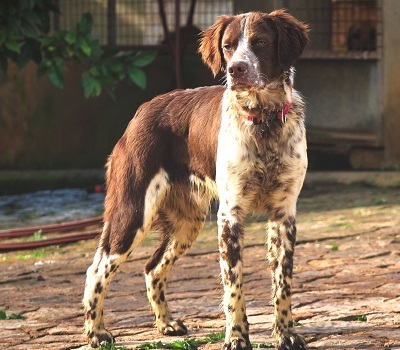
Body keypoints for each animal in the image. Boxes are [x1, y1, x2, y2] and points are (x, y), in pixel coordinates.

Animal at [83, 9, 310, 350]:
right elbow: (234, 286)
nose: (235, 69)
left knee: (152, 268)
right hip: (132, 212)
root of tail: (142, 110)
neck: (263, 121)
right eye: (228, 46)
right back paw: (96, 332)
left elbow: (282, 282)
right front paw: (236, 337)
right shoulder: (230, 215)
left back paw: (165, 324)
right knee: (96, 269)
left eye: (260, 42)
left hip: (186, 222)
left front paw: (286, 333)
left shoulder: (284, 214)